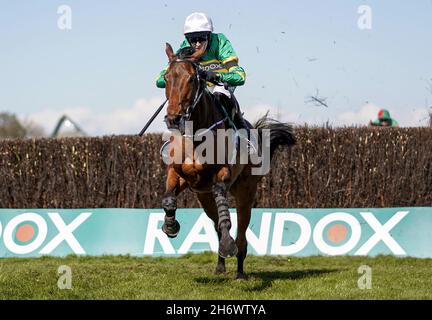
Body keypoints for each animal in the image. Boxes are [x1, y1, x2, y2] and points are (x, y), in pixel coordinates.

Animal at [160, 42, 296, 278]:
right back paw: (220, 264)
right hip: (203, 197)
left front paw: (228, 244)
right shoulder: (180, 175)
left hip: (245, 192)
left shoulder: (222, 174)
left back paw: (239, 269)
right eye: (167, 78)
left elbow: (223, 204)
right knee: (215, 225)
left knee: (241, 233)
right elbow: (168, 199)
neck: (196, 136)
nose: (173, 119)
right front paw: (170, 226)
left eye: (192, 79)